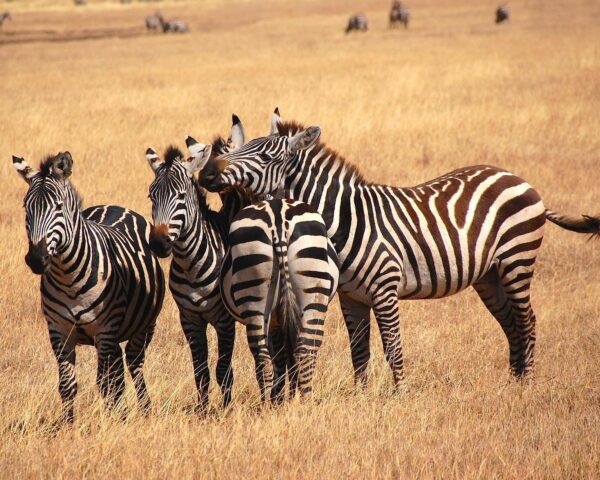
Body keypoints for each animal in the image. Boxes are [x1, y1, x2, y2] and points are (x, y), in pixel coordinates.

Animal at [13, 152, 164, 422]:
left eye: (58, 207)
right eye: (25, 207)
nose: (36, 259)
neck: (68, 276)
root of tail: (113, 206)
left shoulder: (105, 329)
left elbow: (105, 384)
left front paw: (112, 422)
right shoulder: (58, 331)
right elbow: (67, 385)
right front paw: (68, 424)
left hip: (144, 325)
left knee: (133, 363)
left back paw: (144, 409)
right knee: (117, 370)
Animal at [185, 135, 340, 402]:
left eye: (265, 156)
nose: (207, 174)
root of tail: (278, 219)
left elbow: (282, 354)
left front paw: (283, 397)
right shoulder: (282, 313)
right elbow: (286, 354)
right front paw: (287, 396)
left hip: (263, 298)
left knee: (273, 354)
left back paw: (277, 403)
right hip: (303, 294)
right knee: (297, 351)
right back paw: (295, 402)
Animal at [198, 110, 600, 392]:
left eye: (265, 157)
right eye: (244, 146)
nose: (205, 175)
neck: (344, 218)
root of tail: (517, 178)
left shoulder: (385, 289)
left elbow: (392, 347)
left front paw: (400, 395)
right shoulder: (351, 296)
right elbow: (359, 351)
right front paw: (361, 398)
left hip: (518, 260)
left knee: (527, 319)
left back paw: (527, 382)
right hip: (489, 275)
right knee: (510, 322)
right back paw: (513, 382)